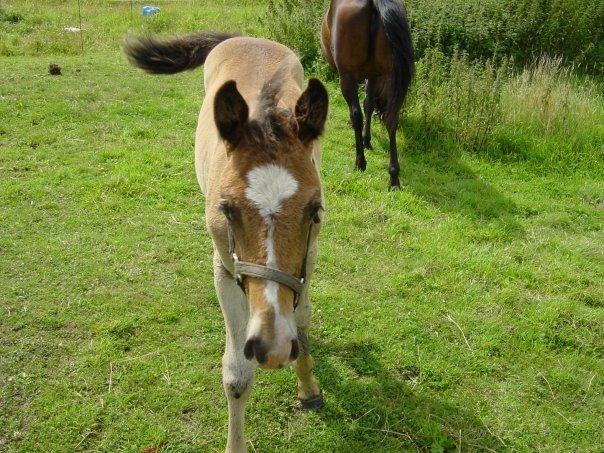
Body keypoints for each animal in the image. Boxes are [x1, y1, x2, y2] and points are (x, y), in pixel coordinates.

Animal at [124, 33, 328, 450]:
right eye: (228, 209)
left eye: (313, 211)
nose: (272, 347)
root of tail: (244, 36)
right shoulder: (225, 265)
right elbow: (237, 374)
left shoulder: (309, 256)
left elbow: (301, 319)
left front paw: (307, 387)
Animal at [320, 0, 416, 189]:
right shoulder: (374, 74)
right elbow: (369, 104)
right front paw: (367, 139)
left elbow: (360, 109)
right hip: (389, 73)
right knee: (392, 120)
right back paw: (394, 176)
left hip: (347, 76)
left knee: (356, 114)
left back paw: (360, 161)